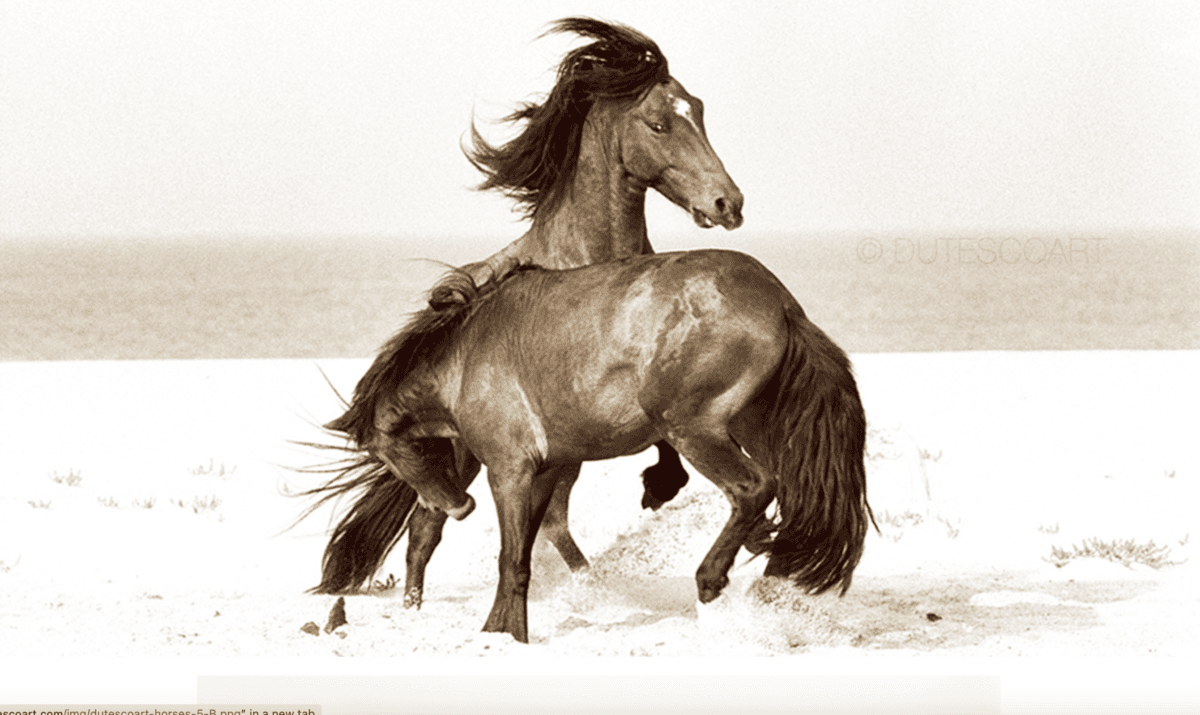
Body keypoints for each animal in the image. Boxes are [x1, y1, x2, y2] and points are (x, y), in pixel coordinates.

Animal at [304, 18, 744, 607]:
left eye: (698, 109)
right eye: (658, 124)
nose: (728, 204)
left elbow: (661, 444)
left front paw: (660, 486)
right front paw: (655, 491)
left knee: (445, 522)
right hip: (463, 451)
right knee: (433, 525)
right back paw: (422, 606)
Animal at [309, 250, 875, 644]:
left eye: (382, 451)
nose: (459, 504)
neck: (465, 354)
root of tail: (779, 303)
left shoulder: (508, 471)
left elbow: (510, 557)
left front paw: (505, 633)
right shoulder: (540, 472)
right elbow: (523, 554)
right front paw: (504, 630)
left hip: (693, 430)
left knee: (754, 489)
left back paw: (712, 579)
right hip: (757, 430)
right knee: (796, 502)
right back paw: (774, 583)